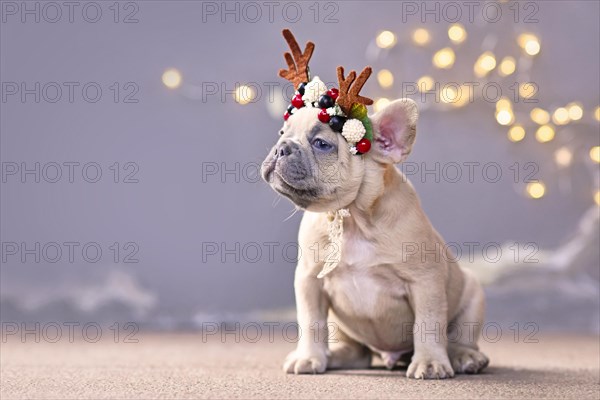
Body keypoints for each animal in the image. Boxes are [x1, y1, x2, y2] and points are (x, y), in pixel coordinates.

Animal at [260, 98, 490, 380]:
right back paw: (333, 356)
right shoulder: (310, 280)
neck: (353, 219)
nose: (281, 148)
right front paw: (308, 357)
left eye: (321, 144)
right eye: (282, 133)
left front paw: (430, 362)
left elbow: (428, 324)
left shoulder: (425, 282)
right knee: (357, 354)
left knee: (460, 338)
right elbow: (312, 322)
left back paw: (465, 357)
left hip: (473, 294)